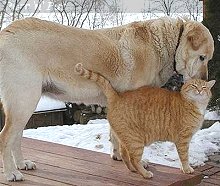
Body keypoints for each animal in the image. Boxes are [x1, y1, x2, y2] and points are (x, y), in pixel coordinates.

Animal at [74, 62, 215, 179]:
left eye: (204, 87)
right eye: (194, 85)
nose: (199, 90)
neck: (194, 105)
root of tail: (118, 96)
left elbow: (182, 157)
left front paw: (183, 168)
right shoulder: (183, 139)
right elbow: (184, 156)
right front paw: (186, 169)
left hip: (125, 138)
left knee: (124, 154)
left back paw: (132, 169)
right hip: (136, 140)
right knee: (133, 159)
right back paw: (145, 173)